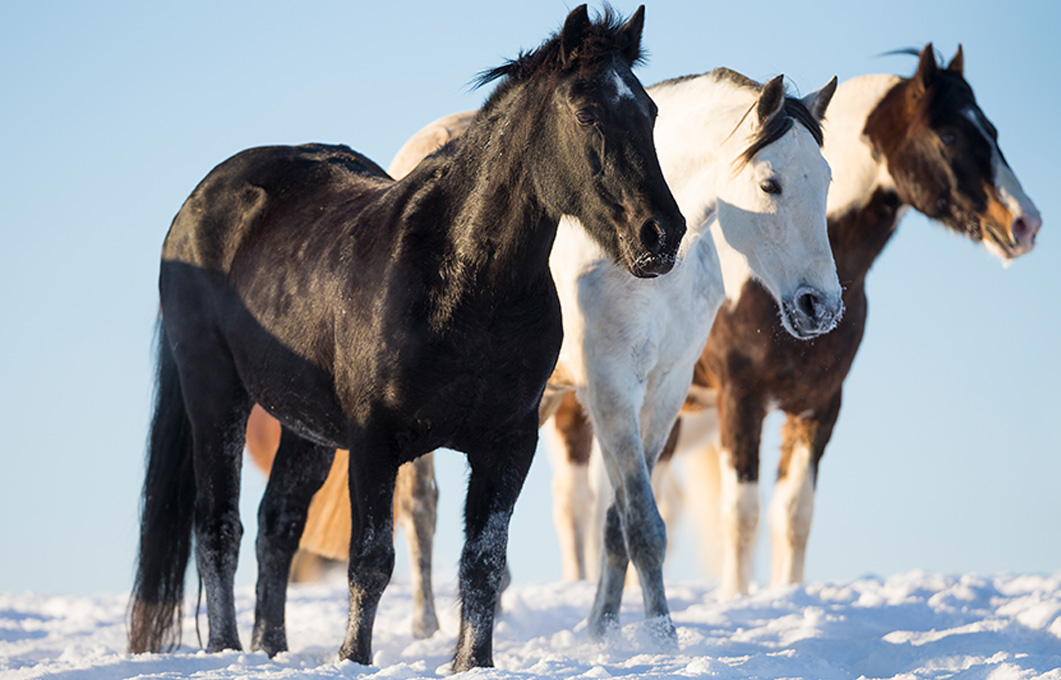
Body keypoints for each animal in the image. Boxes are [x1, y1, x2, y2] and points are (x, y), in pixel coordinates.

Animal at [126, 3, 687, 674]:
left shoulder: (508, 445)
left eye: (649, 112)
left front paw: (473, 662)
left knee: (276, 526)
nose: (662, 234)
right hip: (214, 391)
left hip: (306, 427)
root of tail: (200, 200)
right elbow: (371, 561)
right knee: (218, 527)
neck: (463, 288)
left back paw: (272, 648)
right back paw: (227, 649)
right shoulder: (375, 443)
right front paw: (353, 658)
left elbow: (482, 565)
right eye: (586, 112)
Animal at [250, 64, 844, 640]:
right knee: (420, 507)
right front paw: (661, 635)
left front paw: (605, 629)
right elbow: (643, 524)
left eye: (827, 180)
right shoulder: (609, 389)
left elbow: (617, 523)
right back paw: (426, 626)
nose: (821, 306)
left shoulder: (665, 392)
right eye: (770, 184)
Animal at [555, 42, 1044, 598]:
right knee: (577, 503)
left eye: (993, 130)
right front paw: (737, 598)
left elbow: (793, 515)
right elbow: (742, 514)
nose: (1026, 222)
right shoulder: (741, 400)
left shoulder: (819, 406)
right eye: (951, 134)